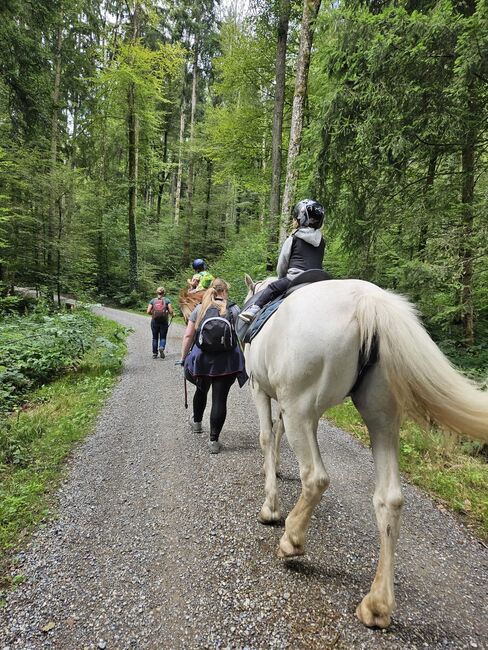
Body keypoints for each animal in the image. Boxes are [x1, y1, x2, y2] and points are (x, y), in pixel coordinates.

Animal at [244, 274, 488, 628]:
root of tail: (368, 301)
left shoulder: (258, 388)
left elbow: (266, 435)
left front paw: (270, 508)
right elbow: (275, 432)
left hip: (300, 409)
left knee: (315, 477)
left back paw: (291, 539)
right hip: (381, 415)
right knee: (389, 499)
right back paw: (376, 605)